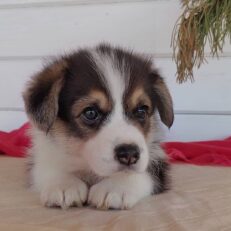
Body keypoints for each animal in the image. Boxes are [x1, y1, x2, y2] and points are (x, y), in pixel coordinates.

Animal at [23, 43, 173, 209]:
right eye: (90, 113)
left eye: (141, 110)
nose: (129, 154)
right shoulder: (41, 157)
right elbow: (49, 167)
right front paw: (64, 184)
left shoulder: (156, 163)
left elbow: (143, 173)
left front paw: (117, 186)